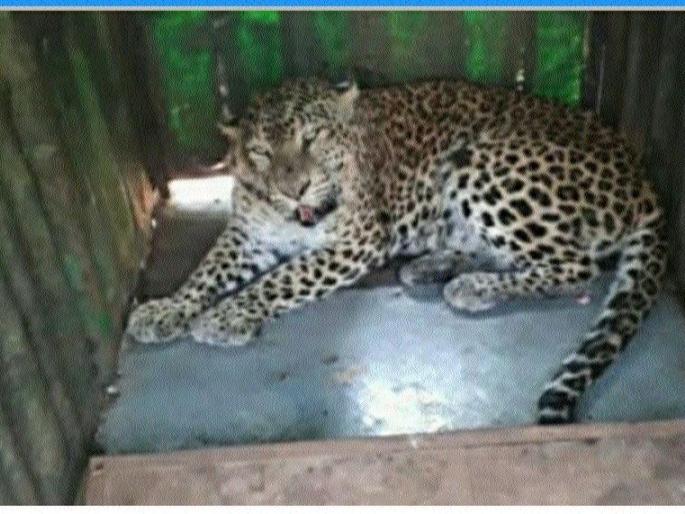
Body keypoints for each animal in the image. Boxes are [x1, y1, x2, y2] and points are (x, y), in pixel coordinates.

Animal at [127, 78, 667, 424]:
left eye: (311, 137)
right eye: (260, 152)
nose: (294, 189)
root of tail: (644, 180)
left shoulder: (356, 241)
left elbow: (283, 278)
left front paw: (227, 315)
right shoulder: (247, 234)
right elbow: (205, 272)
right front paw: (165, 310)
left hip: (484, 162)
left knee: (576, 265)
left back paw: (471, 286)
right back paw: (433, 266)